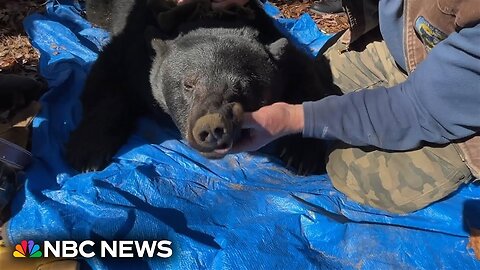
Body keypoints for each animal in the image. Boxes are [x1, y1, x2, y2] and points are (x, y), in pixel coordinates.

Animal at [67, 0, 336, 173]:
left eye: (242, 87)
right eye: (188, 84)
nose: (211, 128)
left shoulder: (278, 46)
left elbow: (307, 79)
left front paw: (302, 153)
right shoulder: (135, 49)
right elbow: (107, 77)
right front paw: (88, 151)